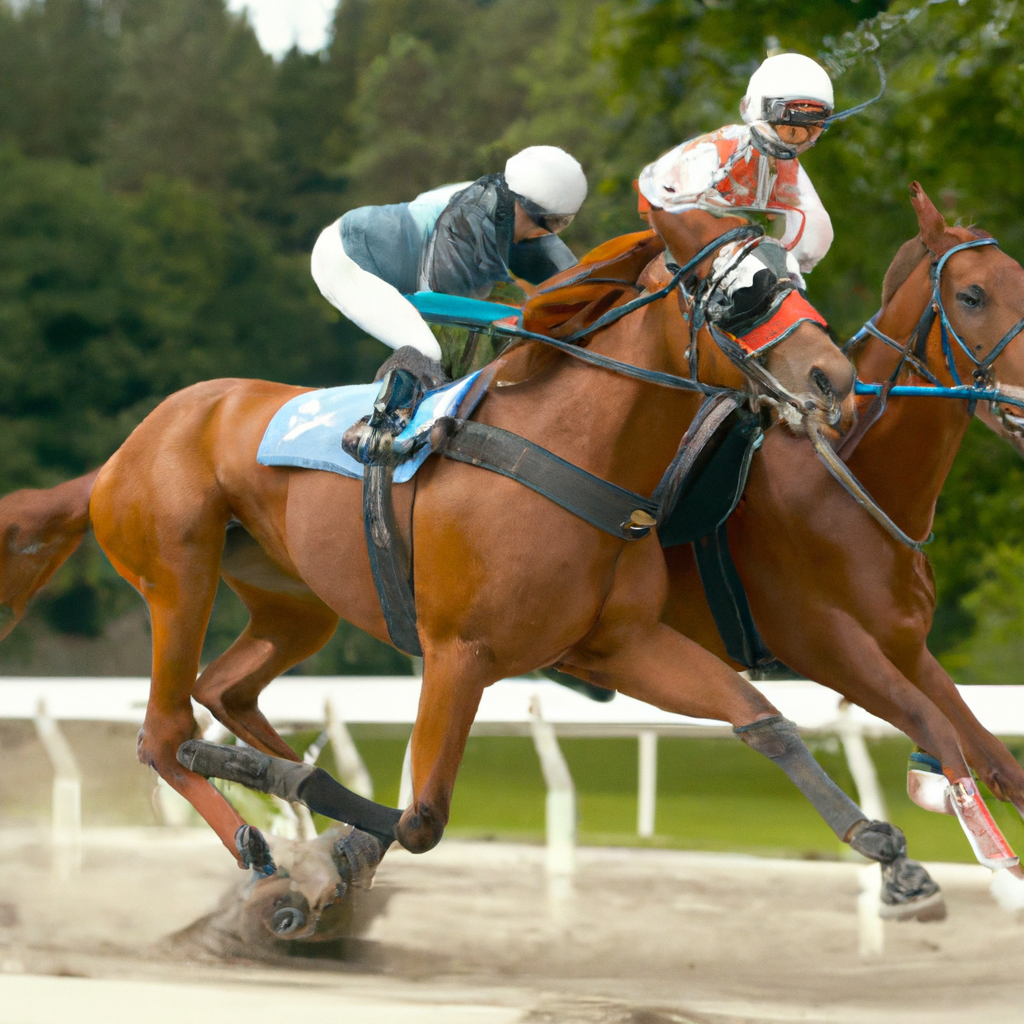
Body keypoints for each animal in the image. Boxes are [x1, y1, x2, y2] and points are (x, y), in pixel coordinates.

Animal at [0, 216, 872, 872]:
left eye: (794, 277)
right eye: (739, 293)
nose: (834, 380)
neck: (572, 450)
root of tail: (117, 458)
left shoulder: (621, 643)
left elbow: (762, 717)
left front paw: (881, 843)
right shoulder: (460, 651)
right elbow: (418, 818)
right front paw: (294, 801)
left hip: (294, 602)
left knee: (224, 692)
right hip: (179, 574)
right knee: (167, 733)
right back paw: (256, 837)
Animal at [659, 184, 1024, 856]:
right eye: (972, 295)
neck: (850, 487)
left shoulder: (905, 646)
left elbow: (994, 759)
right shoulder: (824, 644)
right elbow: (944, 738)